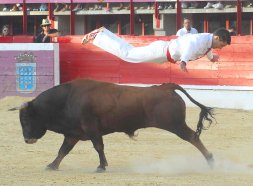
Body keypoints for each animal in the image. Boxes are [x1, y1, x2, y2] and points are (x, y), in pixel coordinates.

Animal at [10, 78, 215, 171]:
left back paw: (211, 160)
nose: (27, 139)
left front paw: (102, 166)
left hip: (176, 125)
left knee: (193, 137)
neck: (67, 100)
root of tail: (166, 87)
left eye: (25, 119)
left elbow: (98, 147)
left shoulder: (91, 128)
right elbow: (63, 150)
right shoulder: (73, 133)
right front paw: (52, 165)